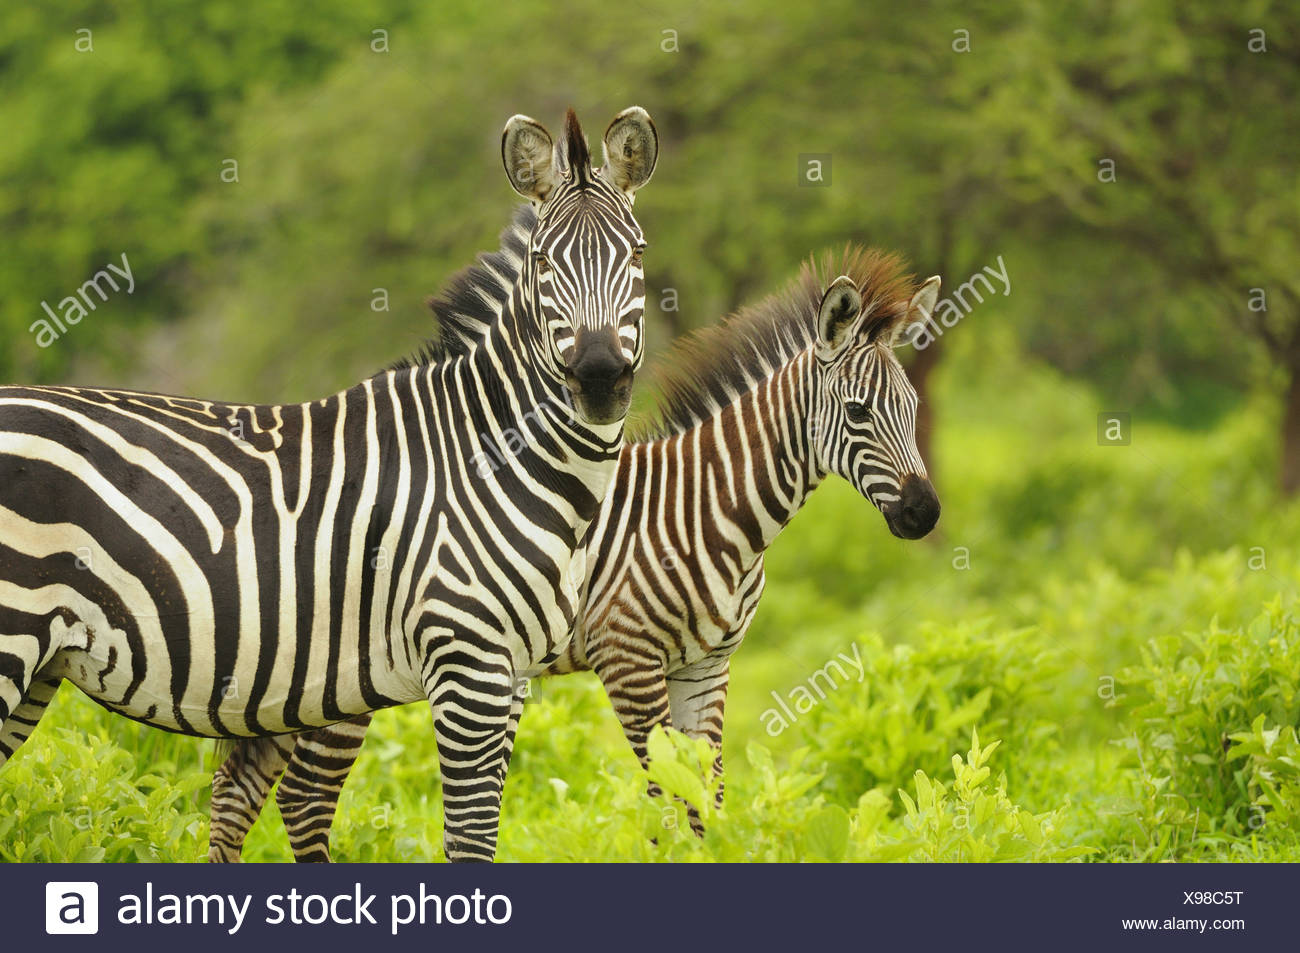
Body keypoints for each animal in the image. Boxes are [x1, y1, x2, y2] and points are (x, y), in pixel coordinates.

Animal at [0, 105, 659, 863]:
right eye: (545, 263)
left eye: (638, 255)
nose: (602, 378)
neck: (498, 456)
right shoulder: (468, 665)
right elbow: (470, 837)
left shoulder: (511, 676)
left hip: (40, 666)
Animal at [206, 242, 942, 859]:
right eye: (858, 412)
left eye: (911, 408)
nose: (924, 513)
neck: (712, 506)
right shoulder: (629, 656)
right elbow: (665, 798)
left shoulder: (708, 664)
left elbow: (706, 798)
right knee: (298, 796)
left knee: (236, 794)